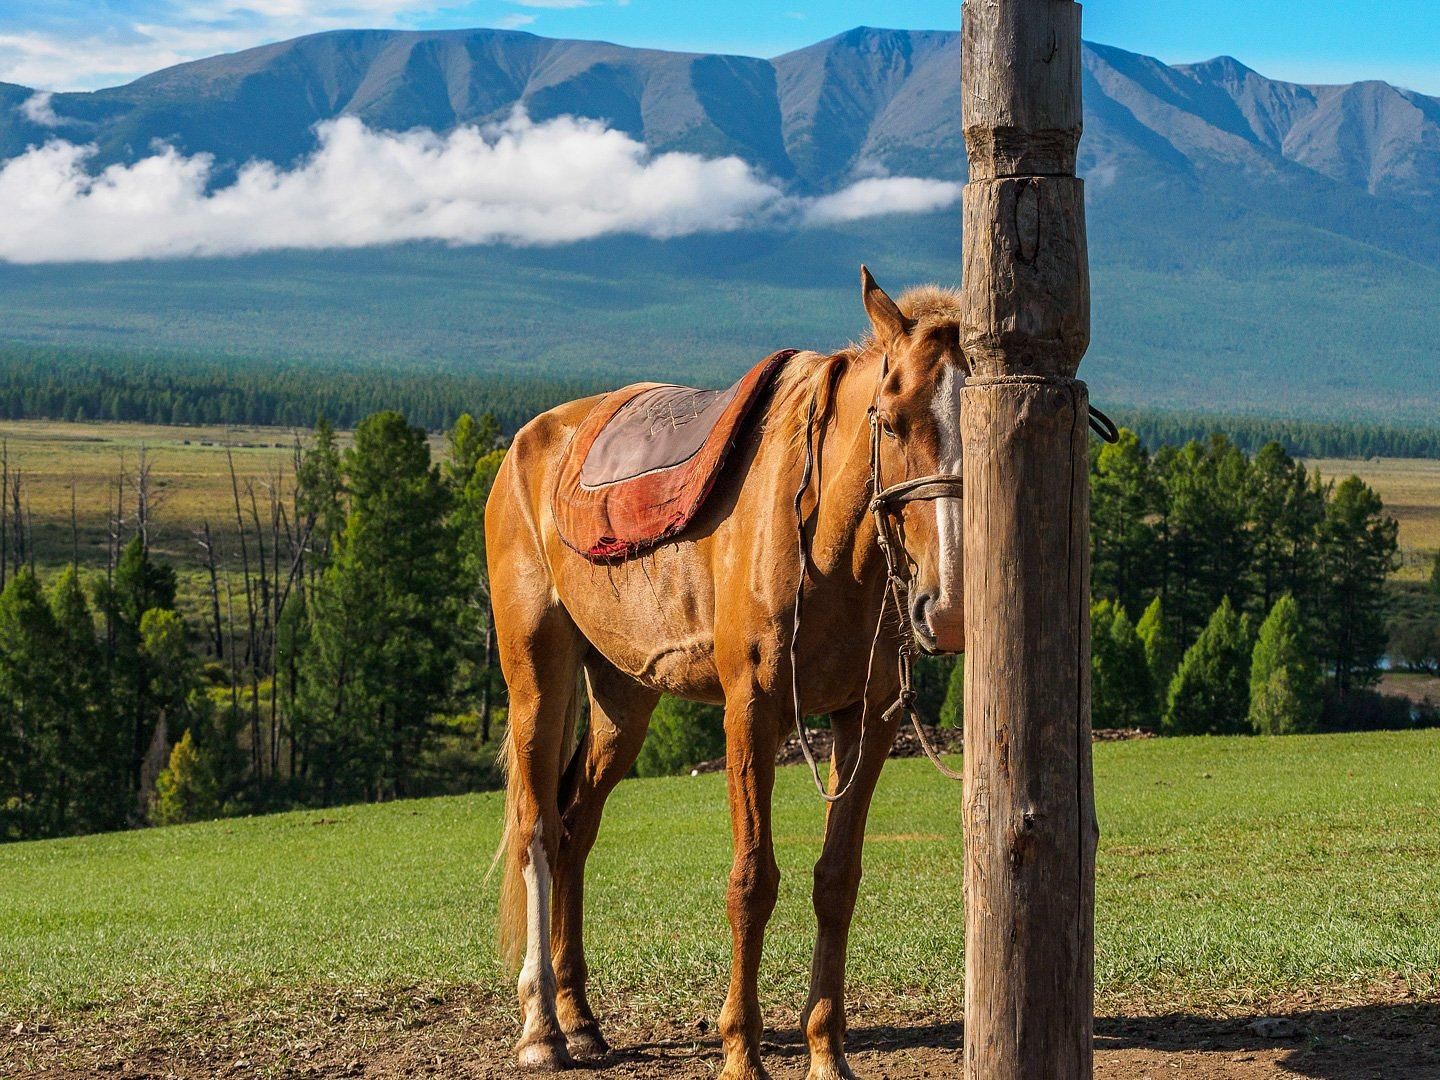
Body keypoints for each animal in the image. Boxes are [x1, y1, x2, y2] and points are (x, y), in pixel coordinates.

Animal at [486, 266, 967, 1077]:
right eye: (892, 420)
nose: (950, 607)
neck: (826, 544)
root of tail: (526, 443)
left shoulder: (868, 721)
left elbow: (837, 879)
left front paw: (826, 1051)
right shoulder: (753, 711)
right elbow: (752, 879)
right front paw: (742, 1049)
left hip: (622, 700)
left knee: (576, 825)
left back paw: (580, 1018)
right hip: (538, 684)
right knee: (537, 828)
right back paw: (542, 1028)